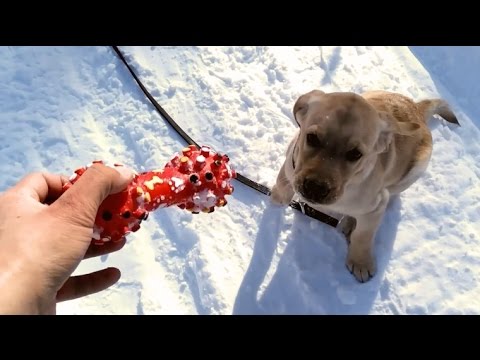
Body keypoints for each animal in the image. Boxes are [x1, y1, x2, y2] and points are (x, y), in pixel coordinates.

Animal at [272, 89, 460, 282]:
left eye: (355, 154)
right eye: (312, 138)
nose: (316, 187)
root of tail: (417, 108)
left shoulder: (376, 206)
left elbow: (363, 236)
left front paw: (361, 263)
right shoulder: (291, 163)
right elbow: (283, 183)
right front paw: (277, 197)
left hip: (416, 169)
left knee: (391, 193)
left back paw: (349, 223)